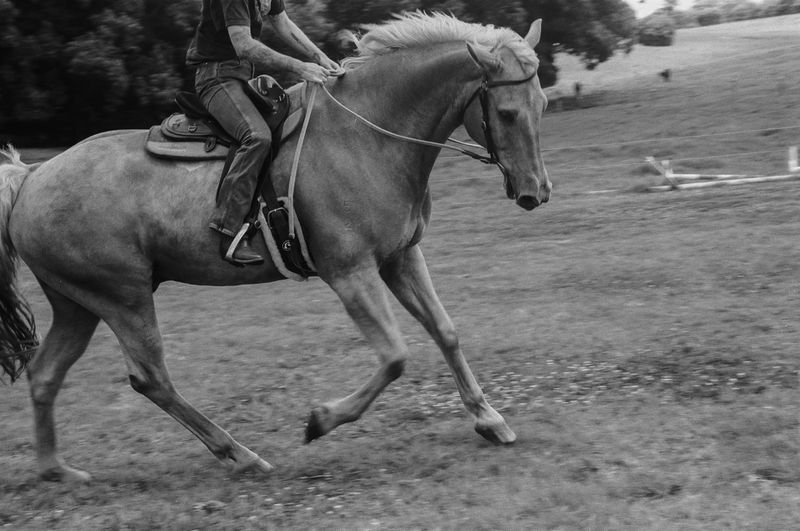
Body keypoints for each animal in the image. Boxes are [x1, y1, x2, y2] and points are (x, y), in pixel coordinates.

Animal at [0, 12, 551, 482]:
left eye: (542, 106)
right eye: (506, 112)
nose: (536, 193)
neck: (368, 135)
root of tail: (31, 177)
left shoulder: (400, 257)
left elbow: (446, 331)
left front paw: (489, 419)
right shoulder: (350, 272)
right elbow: (395, 356)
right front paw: (321, 419)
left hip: (77, 303)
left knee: (45, 375)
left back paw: (56, 470)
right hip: (123, 296)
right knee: (150, 377)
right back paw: (240, 454)